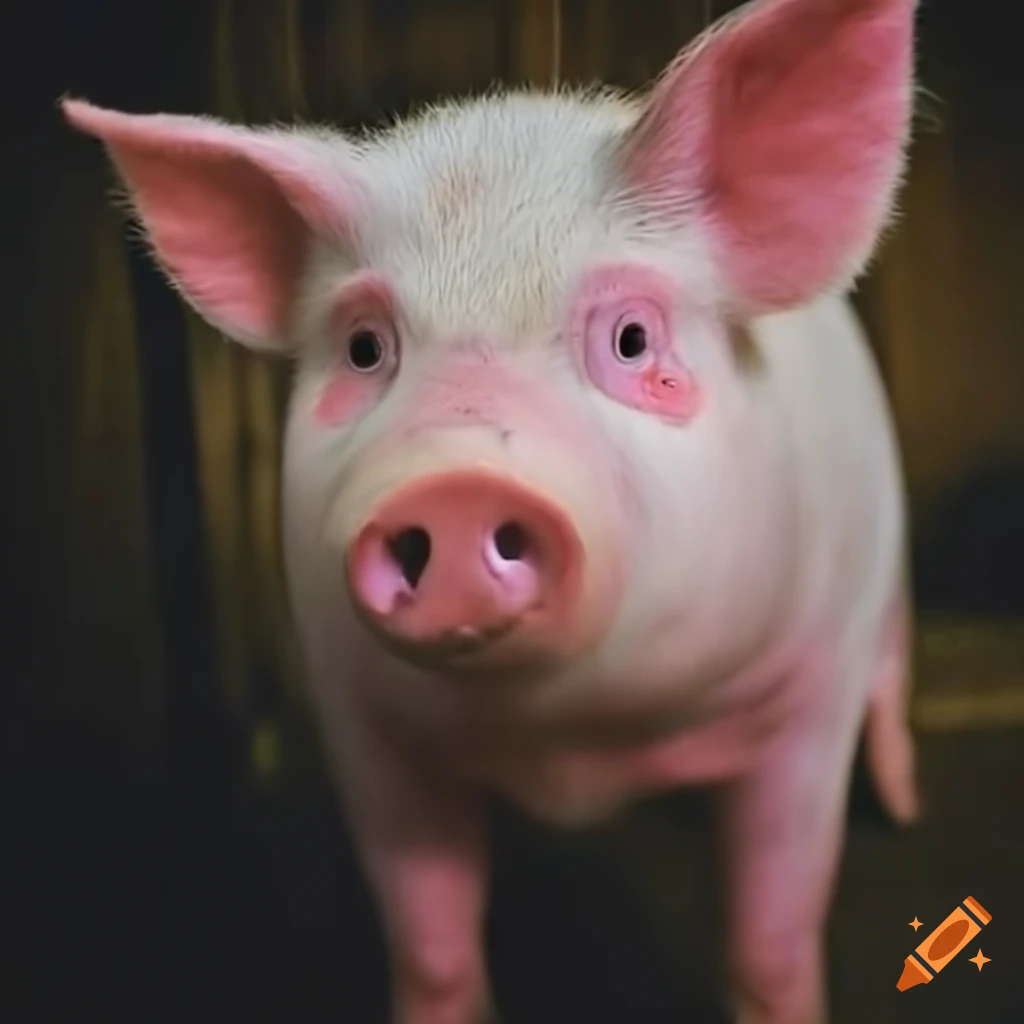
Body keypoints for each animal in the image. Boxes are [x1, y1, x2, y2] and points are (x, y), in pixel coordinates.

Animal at [63, 0, 922, 1020]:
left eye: (633, 339)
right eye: (364, 348)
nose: (456, 483)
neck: (572, 752)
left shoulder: (809, 695)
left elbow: (772, 937)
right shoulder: (362, 719)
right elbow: (432, 942)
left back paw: (905, 803)